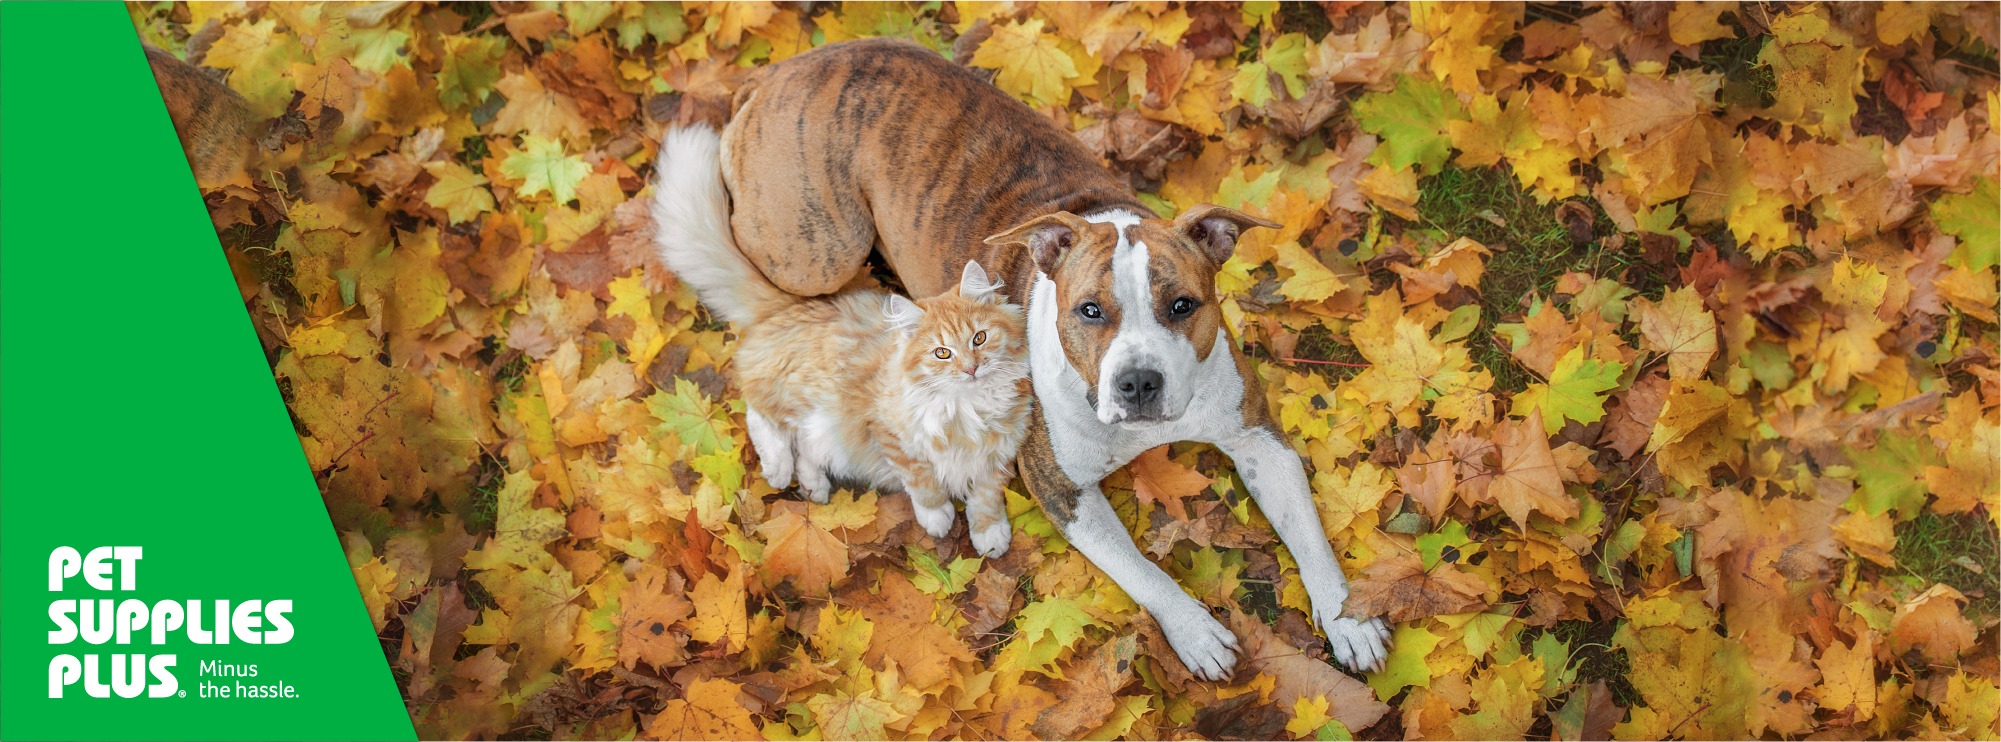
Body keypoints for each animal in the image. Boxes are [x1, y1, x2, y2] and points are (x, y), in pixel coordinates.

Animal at [656, 128, 1032, 560]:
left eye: (979, 338)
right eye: (942, 353)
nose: (971, 368)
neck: (967, 410)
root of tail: (793, 303)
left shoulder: (998, 455)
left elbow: (986, 498)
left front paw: (990, 534)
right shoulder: (890, 433)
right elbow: (923, 481)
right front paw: (938, 518)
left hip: (822, 428)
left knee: (802, 446)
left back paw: (813, 486)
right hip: (804, 395)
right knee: (760, 413)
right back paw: (778, 467)